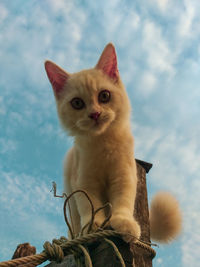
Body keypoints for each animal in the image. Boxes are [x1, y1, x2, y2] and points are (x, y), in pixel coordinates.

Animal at [44, 43, 182, 244]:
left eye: (104, 96)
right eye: (77, 103)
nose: (94, 114)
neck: (102, 144)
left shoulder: (124, 175)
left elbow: (122, 202)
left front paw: (124, 222)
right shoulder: (84, 182)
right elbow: (90, 205)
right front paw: (92, 225)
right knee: (75, 220)